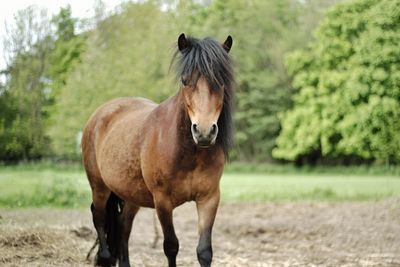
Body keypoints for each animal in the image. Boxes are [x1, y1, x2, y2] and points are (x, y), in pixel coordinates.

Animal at [81, 33, 234, 267]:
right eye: (184, 80)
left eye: (221, 81)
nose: (204, 132)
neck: (189, 153)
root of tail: (99, 114)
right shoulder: (162, 201)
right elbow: (171, 246)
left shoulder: (208, 198)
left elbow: (204, 251)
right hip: (99, 187)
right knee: (99, 218)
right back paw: (105, 257)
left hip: (130, 194)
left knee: (124, 227)